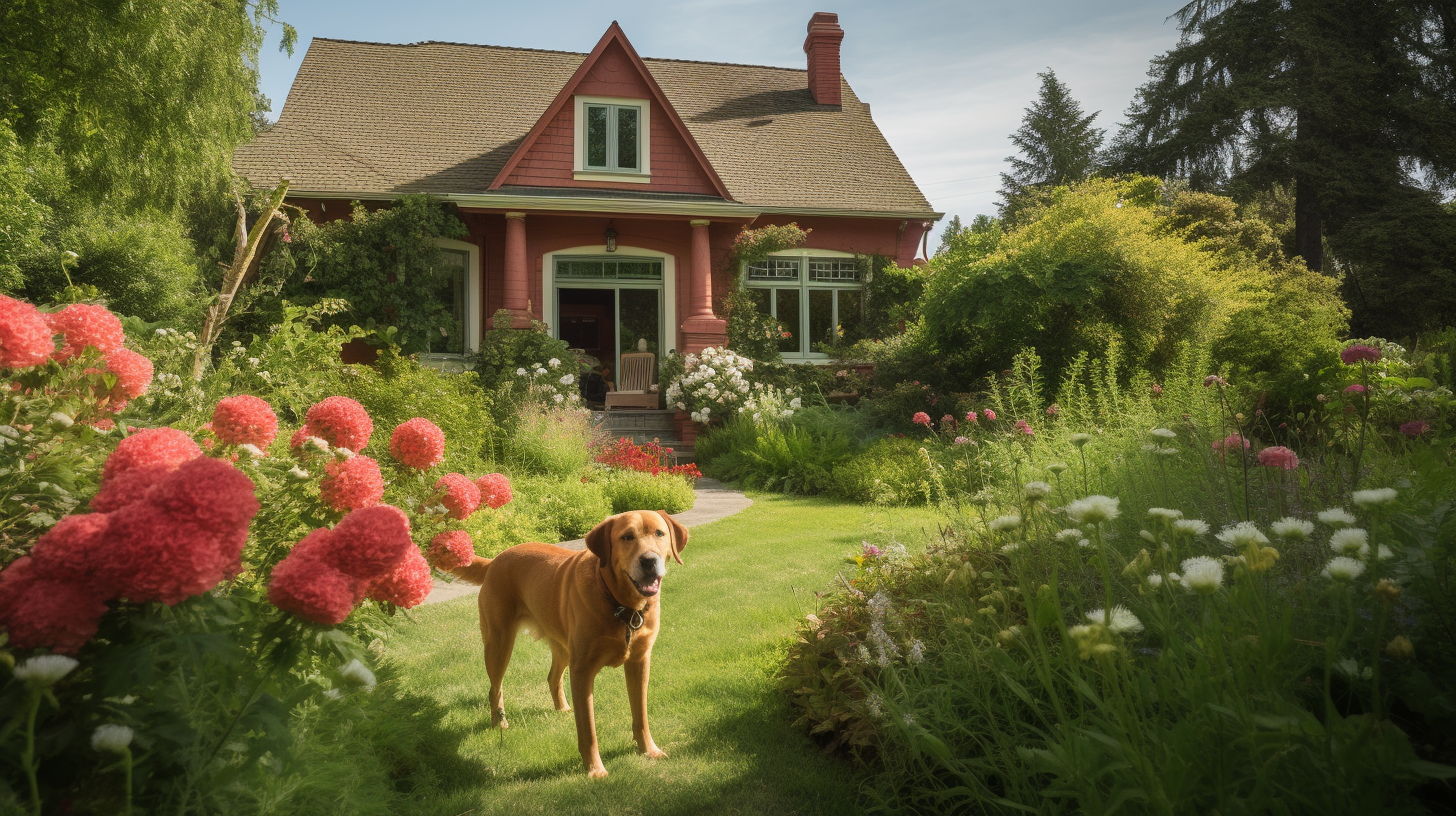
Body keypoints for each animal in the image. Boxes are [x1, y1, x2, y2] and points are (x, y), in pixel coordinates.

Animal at [448, 510, 687, 775]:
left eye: (659, 533)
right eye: (627, 537)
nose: (649, 560)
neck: (621, 607)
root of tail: (495, 559)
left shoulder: (640, 662)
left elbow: (641, 715)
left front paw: (648, 750)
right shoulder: (582, 670)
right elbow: (588, 729)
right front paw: (595, 770)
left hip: (562, 648)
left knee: (552, 677)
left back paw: (562, 709)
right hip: (499, 643)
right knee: (495, 688)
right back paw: (499, 723)